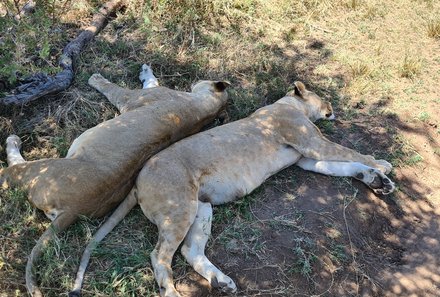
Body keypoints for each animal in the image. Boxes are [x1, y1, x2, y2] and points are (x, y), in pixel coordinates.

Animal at [0, 65, 232, 296]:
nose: (196, 81)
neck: (203, 109)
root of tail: (73, 210)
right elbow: (151, 80)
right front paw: (146, 70)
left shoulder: (133, 98)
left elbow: (114, 89)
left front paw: (95, 78)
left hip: (43, 168)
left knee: (9, 172)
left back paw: (13, 141)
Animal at [69, 80, 396, 294]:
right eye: (321, 95)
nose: (332, 107)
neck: (288, 105)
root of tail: (136, 183)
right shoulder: (309, 142)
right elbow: (349, 153)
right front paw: (381, 164)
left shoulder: (306, 159)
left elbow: (343, 166)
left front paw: (376, 180)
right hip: (180, 209)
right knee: (159, 255)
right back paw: (175, 291)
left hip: (201, 208)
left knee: (190, 250)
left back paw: (222, 282)